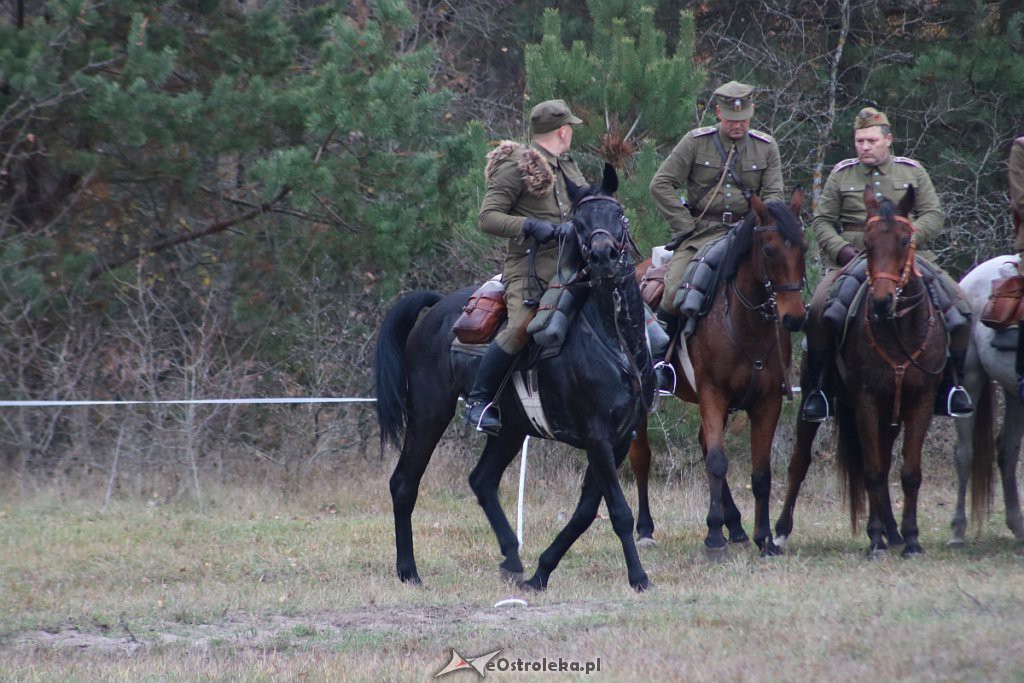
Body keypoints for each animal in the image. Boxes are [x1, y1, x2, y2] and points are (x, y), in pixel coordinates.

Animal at [376, 165, 655, 593]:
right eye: (578, 223)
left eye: (618, 214)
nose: (605, 256)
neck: (614, 339)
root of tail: (437, 309)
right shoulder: (597, 437)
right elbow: (619, 512)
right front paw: (638, 577)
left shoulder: (621, 439)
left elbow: (586, 512)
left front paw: (541, 573)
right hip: (429, 414)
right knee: (404, 483)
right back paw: (408, 570)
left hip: (508, 428)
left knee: (482, 480)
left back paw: (511, 557)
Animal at [630, 189, 806, 552]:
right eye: (769, 250)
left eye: (804, 248)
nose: (794, 317)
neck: (744, 323)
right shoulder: (713, 393)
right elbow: (716, 461)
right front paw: (713, 535)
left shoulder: (767, 402)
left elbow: (760, 472)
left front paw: (764, 538)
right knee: (642, 456)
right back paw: (645, 529)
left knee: (703, 442)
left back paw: (736, 525)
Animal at [770, 187, 946, 557]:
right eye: (867, 241)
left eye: (905, 240)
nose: (880, 301)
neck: (897, 331)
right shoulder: (866, 402)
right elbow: (873, 470)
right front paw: (876, 539)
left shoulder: (921, 402)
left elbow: (909, 472)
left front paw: (910, 538)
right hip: (816, 401)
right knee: (800, 462)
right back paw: (780, 532)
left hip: (890, 417)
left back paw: (893, 532)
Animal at [950, 252, 1024, 544]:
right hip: (969, 379)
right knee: (964, 453)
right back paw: (957, 531)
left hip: (1014, 392)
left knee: (1008, 450)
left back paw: (1017, 524)